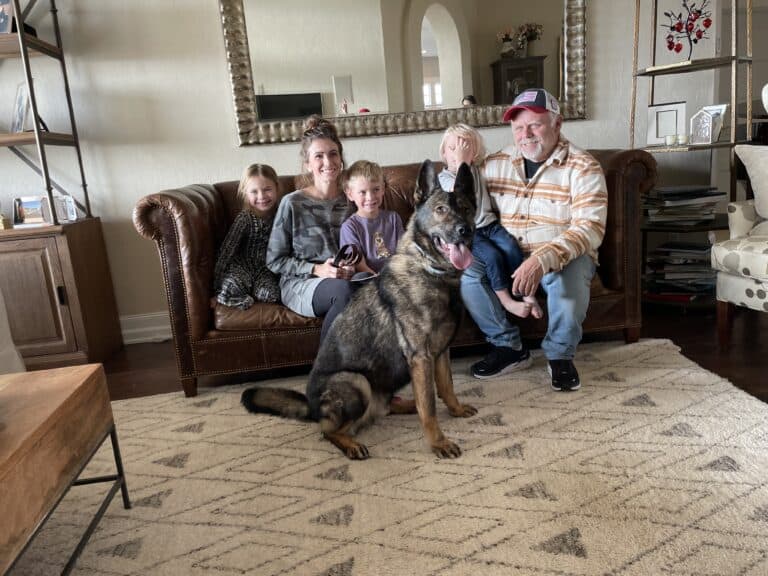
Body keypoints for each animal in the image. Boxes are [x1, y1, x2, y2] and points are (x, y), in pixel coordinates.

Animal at [243, 160, 476, 462]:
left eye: (467, 208)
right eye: (441, 210)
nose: (465, 230)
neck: (430, 270)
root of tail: (311, 406)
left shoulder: (440, 353)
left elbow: (446, 388)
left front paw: (455, 410)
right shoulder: (421, 357)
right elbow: (429, 409)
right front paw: (438, 442)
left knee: (385, 408)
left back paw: (404, 404)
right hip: (357, 381)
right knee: (328, 430)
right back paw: (351, 443)